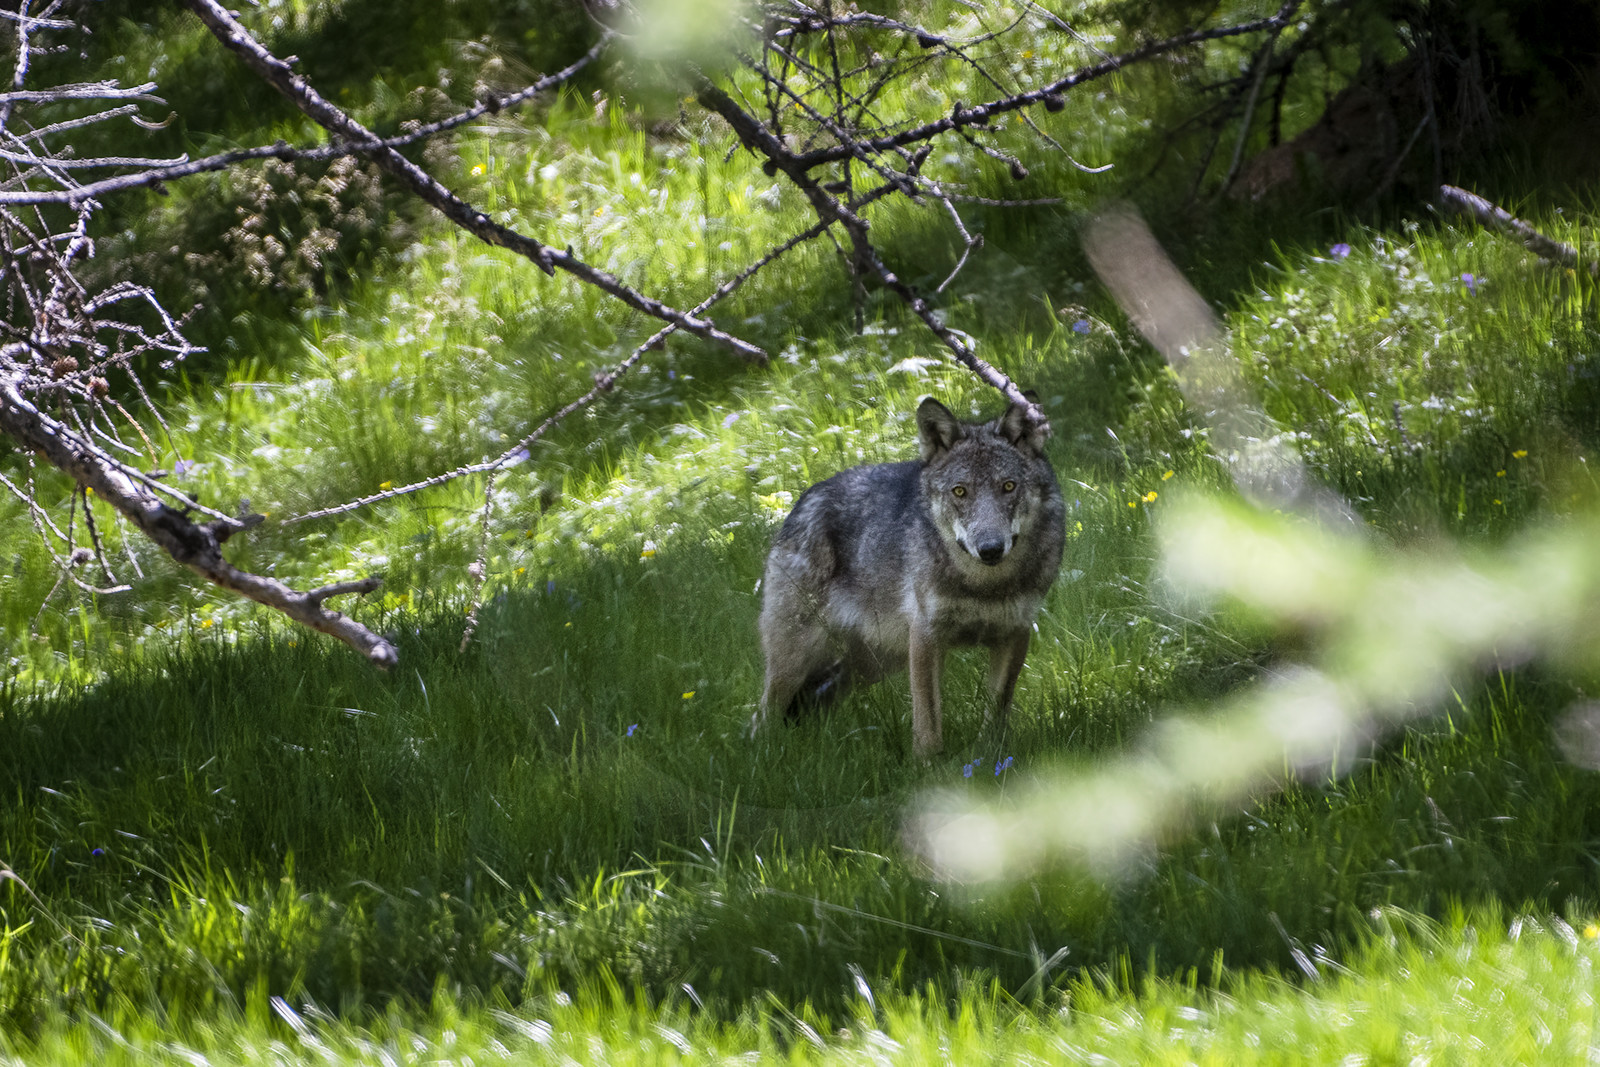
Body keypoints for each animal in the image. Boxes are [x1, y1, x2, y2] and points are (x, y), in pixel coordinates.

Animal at [756, 395, 1065, 758]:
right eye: (960, 491)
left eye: (1008, 486)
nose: (990, 549)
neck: (983, 585)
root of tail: (802, 500)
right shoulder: (925, 636)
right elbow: (927, 717)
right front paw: (929, 764)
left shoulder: (1015, 634)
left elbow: (997, 708)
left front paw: (989, 756)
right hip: (795, 661)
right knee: (763, 714)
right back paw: (761, 755)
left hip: (870, 664)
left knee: (815, 698)